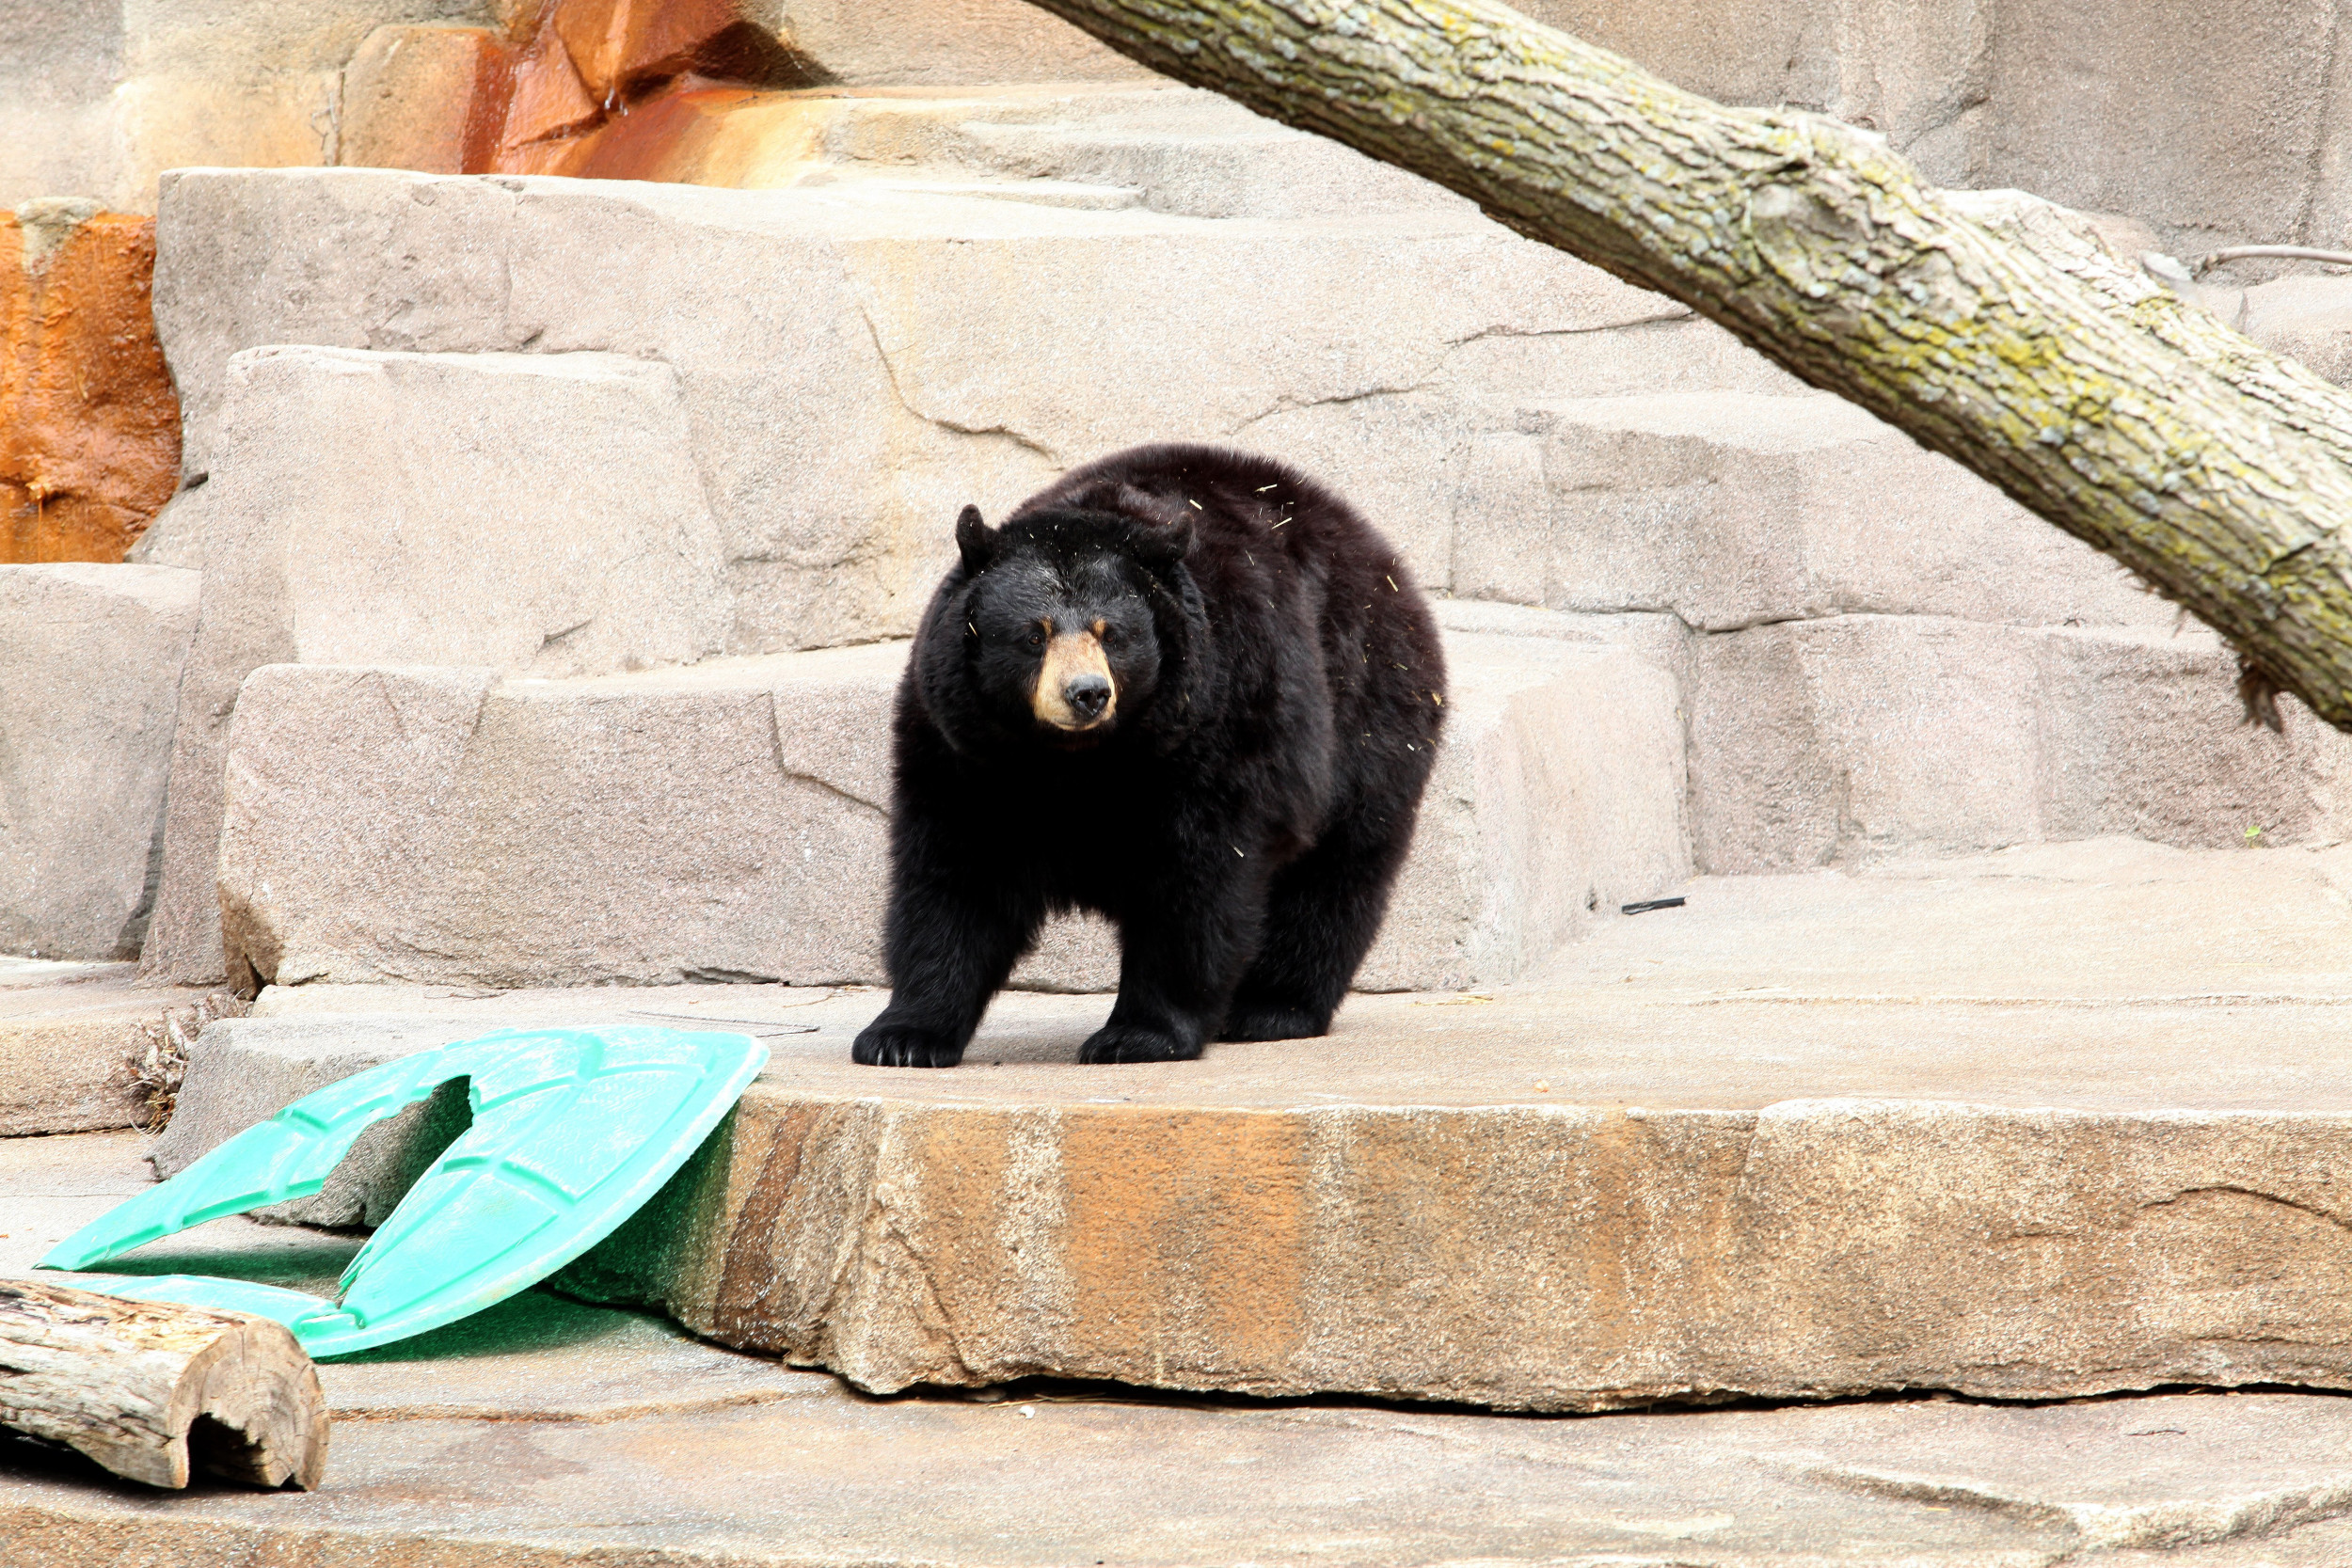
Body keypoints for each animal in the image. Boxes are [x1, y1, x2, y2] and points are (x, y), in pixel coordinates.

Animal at [851, 443, 1446, 1068]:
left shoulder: (1216, 720)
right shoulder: (964, 748)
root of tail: (1373, 545)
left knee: (1337, 870)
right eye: (1034, 634)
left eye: (1112, 633)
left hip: (1366, 711)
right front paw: (903, 1036)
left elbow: (1196, 880)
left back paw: (1271, 1007)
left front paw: (1137, 1034)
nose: (1086, 693)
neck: (1074, 759)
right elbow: (955, 872)